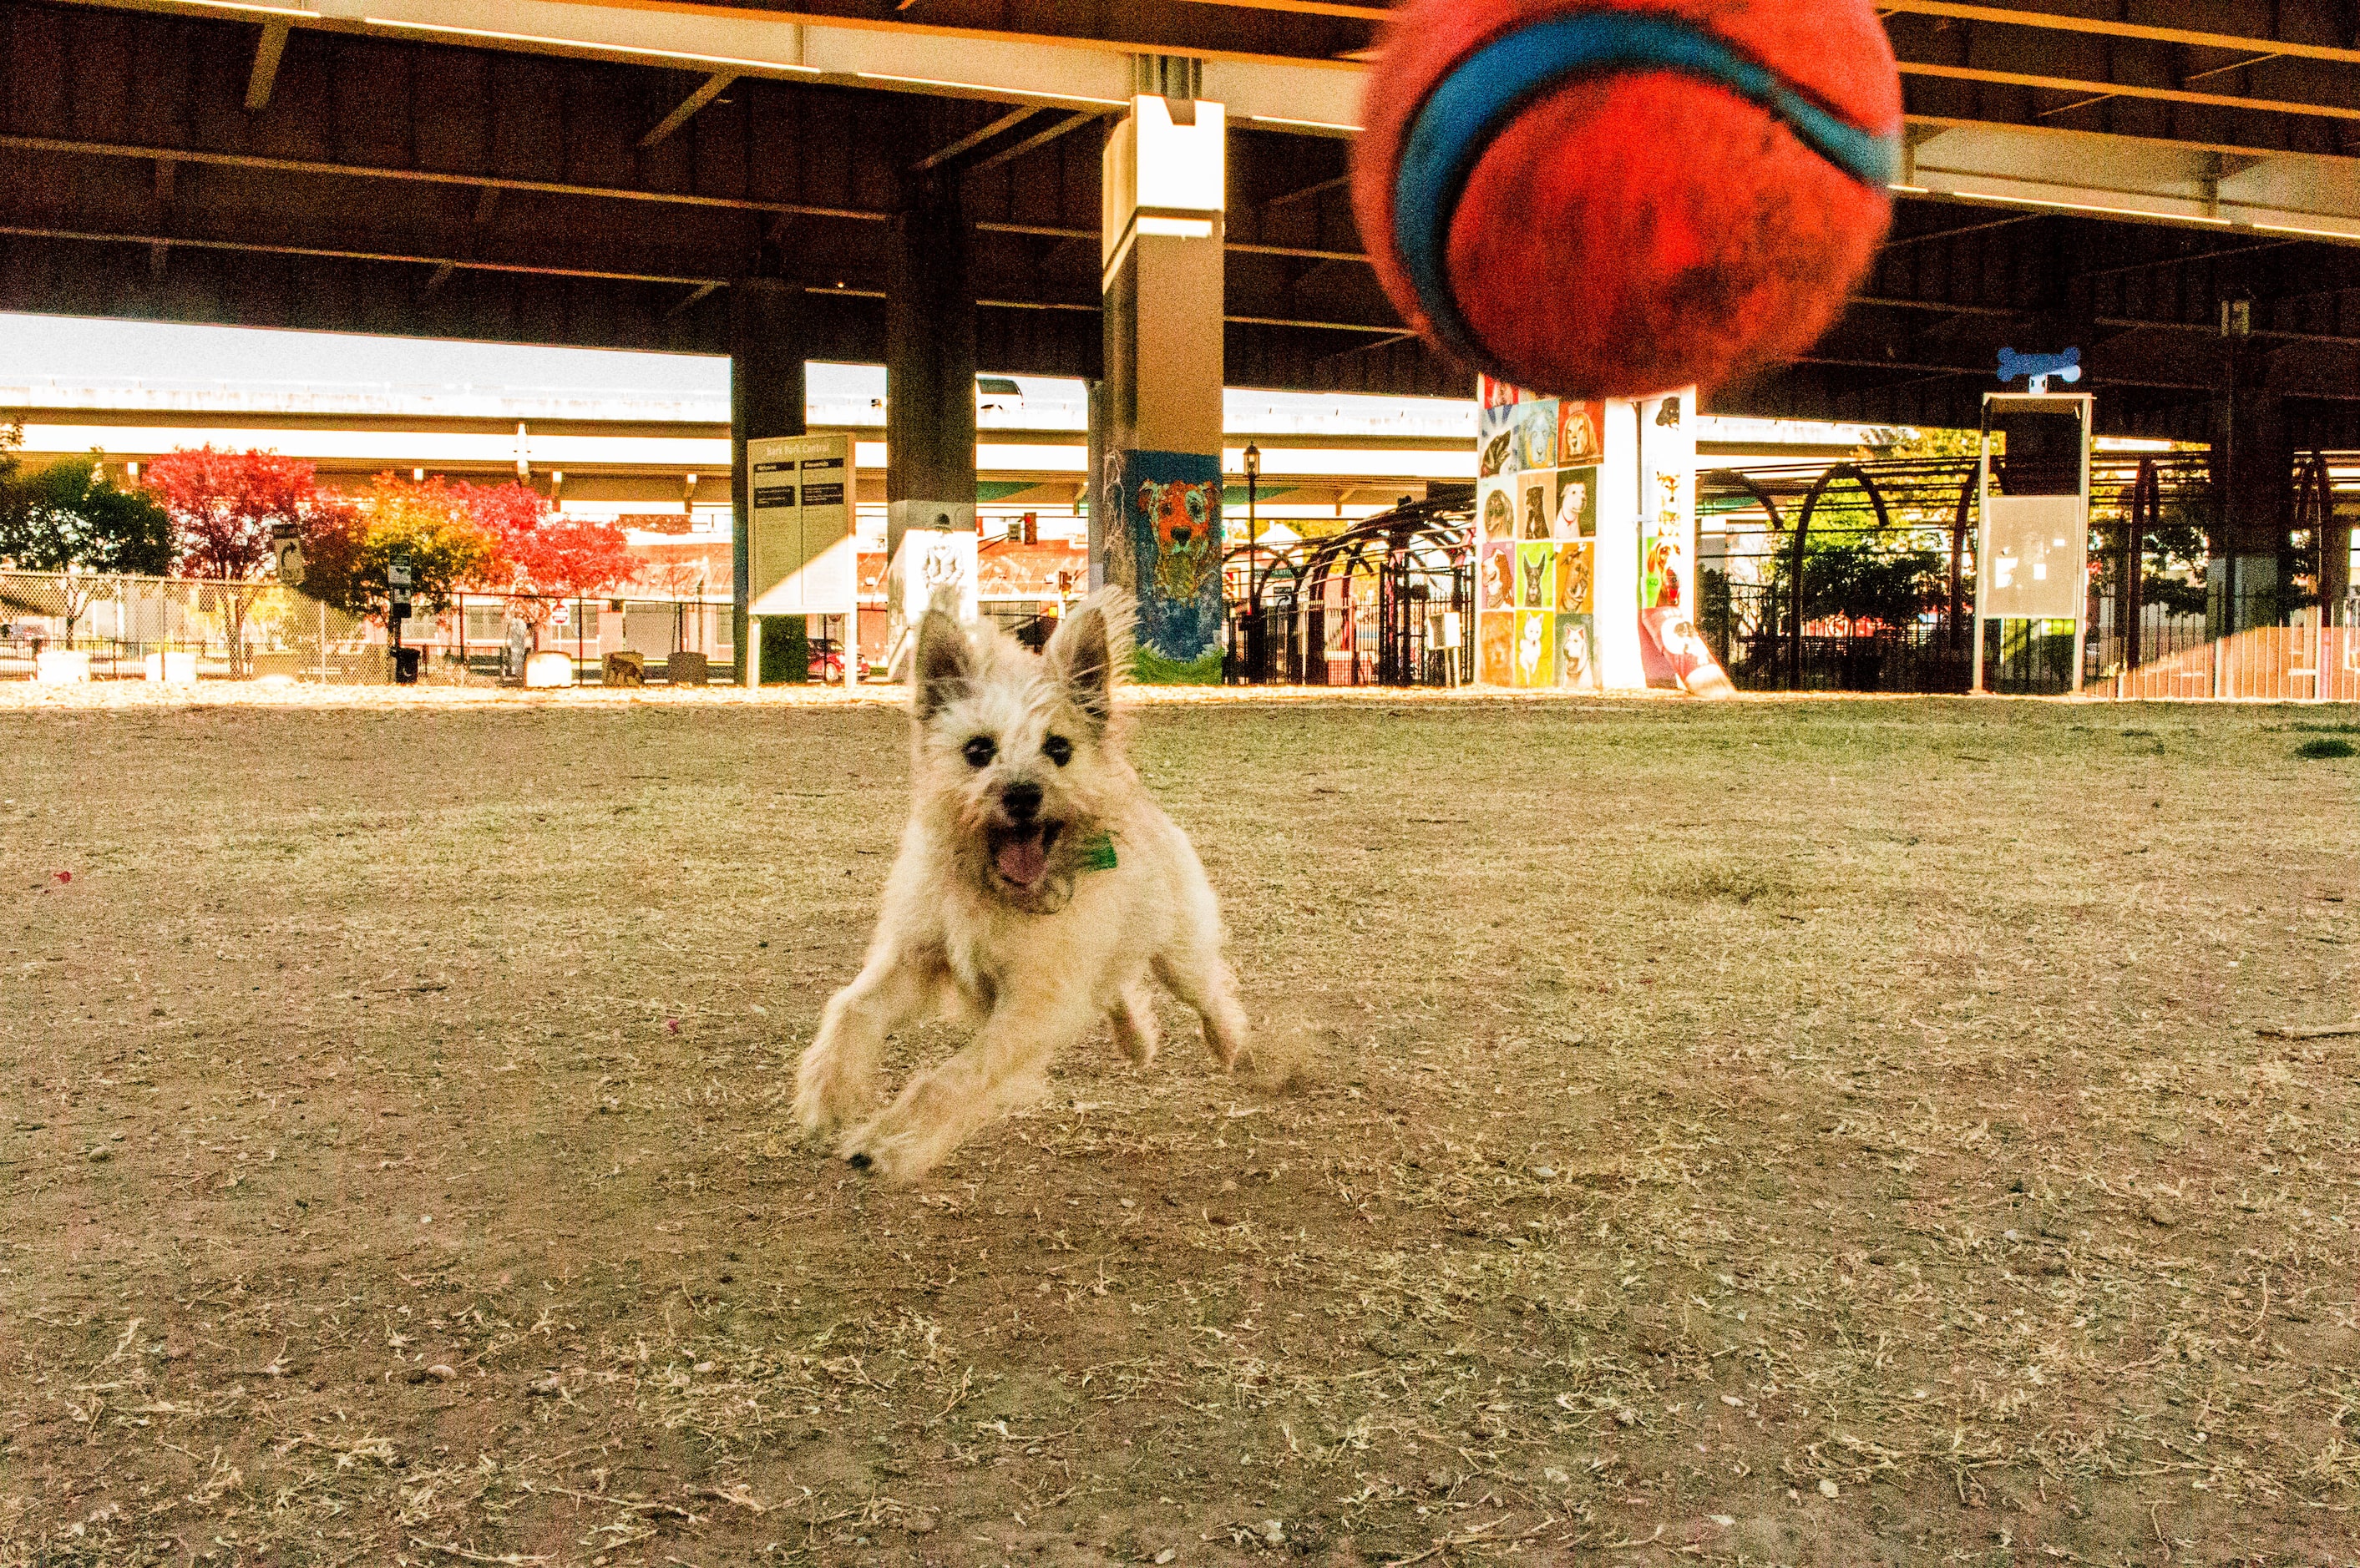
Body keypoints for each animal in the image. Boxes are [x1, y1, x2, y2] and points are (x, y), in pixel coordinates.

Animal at [798, 594, 1255, 1179]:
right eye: (977, 750)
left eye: (1058, 748)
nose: (1021, 794)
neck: (996, 890)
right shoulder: (916, 958)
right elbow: (851, 1010)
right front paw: (828, 1095)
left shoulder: (1032, 1006)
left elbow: (949, 1079)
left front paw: (892, 1143)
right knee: (1116, 987)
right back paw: (1136, 1039)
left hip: (1179, 954)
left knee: (1210, 990)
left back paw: (1229, 1045)